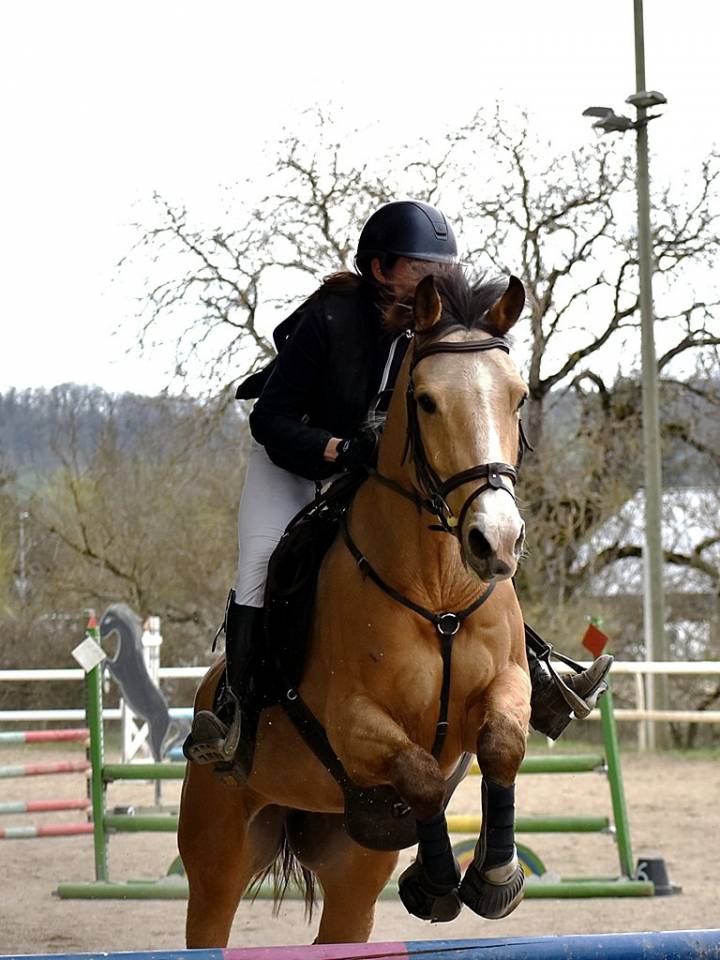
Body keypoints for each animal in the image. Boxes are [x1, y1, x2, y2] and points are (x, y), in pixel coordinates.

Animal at [178, 269, 532, 946]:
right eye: (426, 401)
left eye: (518, 397)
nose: (495, 541)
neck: (439, 593)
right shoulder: (353, 720)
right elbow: (420, 772)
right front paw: (437, 885)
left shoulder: (508, 684)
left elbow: (502, 744)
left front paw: (492, 878)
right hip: (218, 854)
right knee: (211, 913)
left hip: (351, 865)